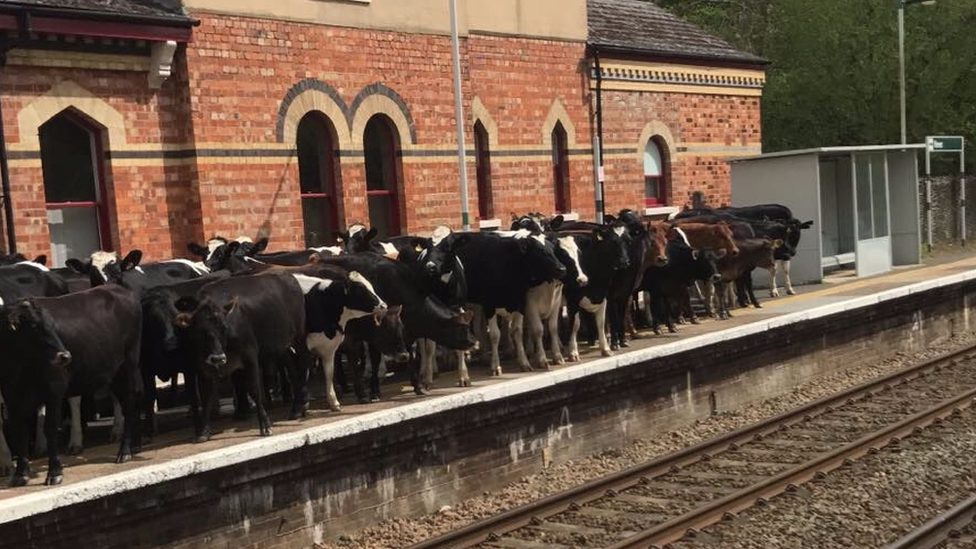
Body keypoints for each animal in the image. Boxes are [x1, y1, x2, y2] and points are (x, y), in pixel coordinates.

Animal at [0, 282, 142, 484]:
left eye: (52, 326)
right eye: (33, 327)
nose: (65, 356)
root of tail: (117, 287)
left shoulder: (54, 389)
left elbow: (50, 427)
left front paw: (54, 472)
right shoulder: (12, 395)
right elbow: (21, 430)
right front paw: (20, 474)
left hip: (128, 365)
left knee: (129, 403)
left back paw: (125, 451)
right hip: (112, 373)